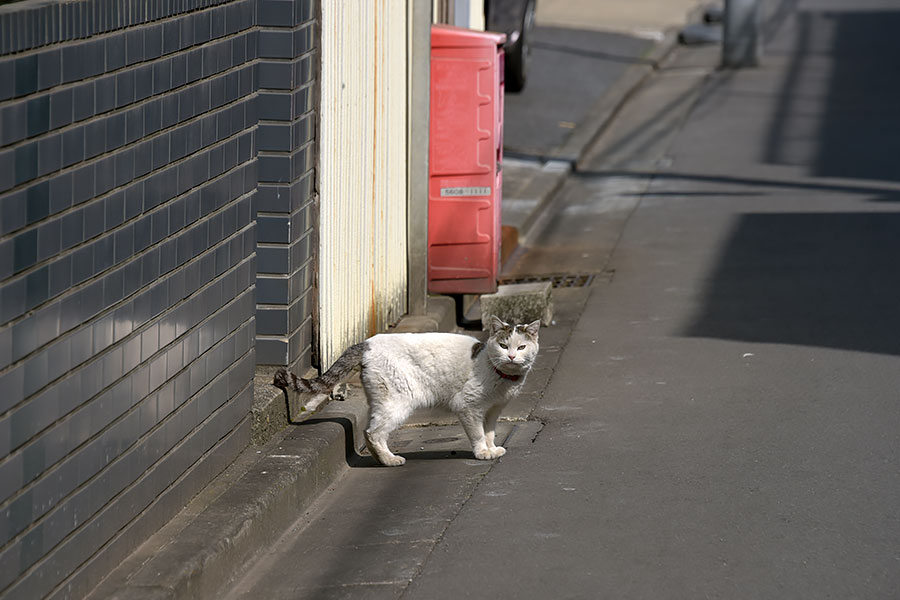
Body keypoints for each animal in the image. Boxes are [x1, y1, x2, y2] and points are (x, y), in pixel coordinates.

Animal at [274, 316, 540, 466]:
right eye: (503, 345)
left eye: (521, 347)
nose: (512, 356)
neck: (500, 375)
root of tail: (367, 342)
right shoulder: (469, 407)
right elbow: (477, 434)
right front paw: (483, 453)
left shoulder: (493, 410)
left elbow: (490, 432)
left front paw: (492, 448)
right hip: (397, 402)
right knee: (372, 433)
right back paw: (390, 460)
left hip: (382, 400)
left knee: (369, 430)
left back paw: (382, 460)